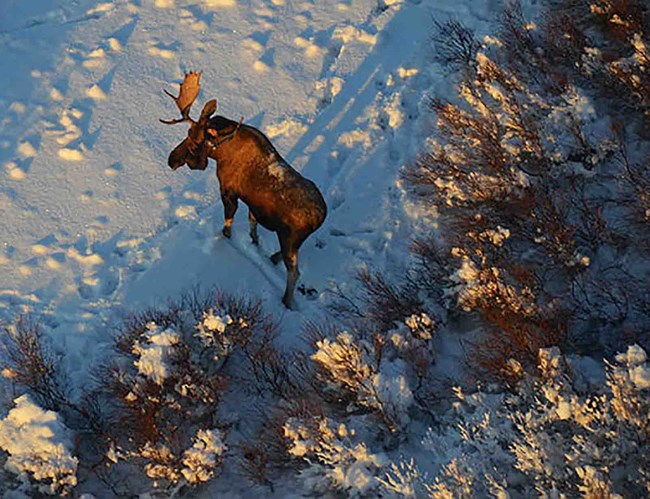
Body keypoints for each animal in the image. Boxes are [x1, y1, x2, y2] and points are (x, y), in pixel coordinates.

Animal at [160, 71, 326, 308]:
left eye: (194, 141)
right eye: (187, 133)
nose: (171, 159)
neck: (220, 153)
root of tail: (321, 217)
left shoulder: (228, 191)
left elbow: (227, 224)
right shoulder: (253, 205)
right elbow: (252, 225)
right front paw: (254, 243)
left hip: (289, 237)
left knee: (294, 272)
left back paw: (286, 300)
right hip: (292, 239)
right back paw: (272, 258)